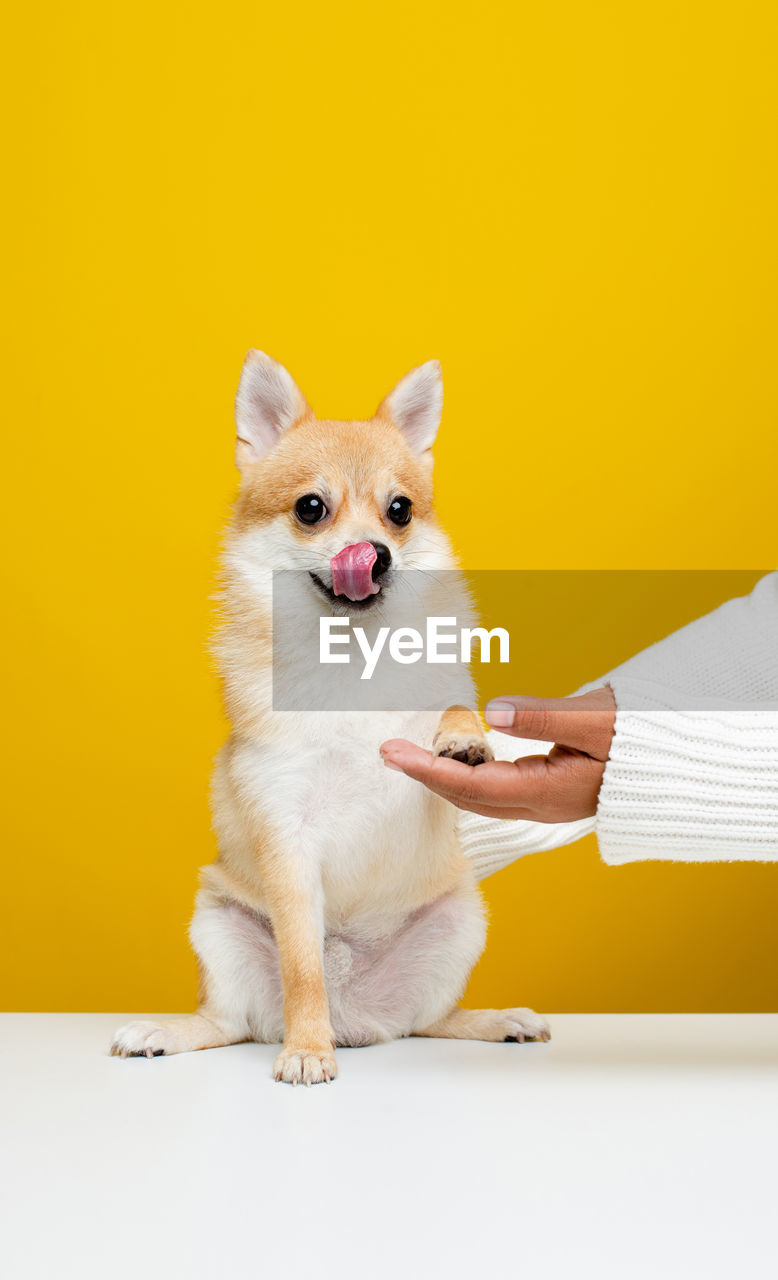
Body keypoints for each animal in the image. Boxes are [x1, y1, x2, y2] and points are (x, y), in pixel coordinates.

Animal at [109, 355, 550, 1085]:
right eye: (311, 509)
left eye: (400, 511)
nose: (374, 552)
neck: (353, 659)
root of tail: (357, 1019)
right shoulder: (286, 839)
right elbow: (301, 968)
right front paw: (307, 1050)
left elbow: (454, 703)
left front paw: (463, 739)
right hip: (217, 924)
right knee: (231, 1021)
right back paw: (172, 1032)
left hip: (461, 920)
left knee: (431, 1020)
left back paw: (493, 1022)